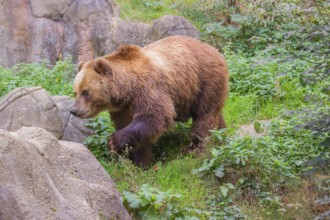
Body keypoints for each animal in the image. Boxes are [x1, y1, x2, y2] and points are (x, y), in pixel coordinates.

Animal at [71, 35, 228, 167]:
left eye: (86, 92)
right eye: (76, 92)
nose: (74, 110)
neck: (127, 90)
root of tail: (215, 50)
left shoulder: (148, 89)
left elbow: (154, 116)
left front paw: (114, 142)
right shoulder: (124, 108)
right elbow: (135, 131)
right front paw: (140, 161)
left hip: (205, 80)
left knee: (204, 116)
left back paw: (194, 148)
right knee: (215, 114)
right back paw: (221, 135)